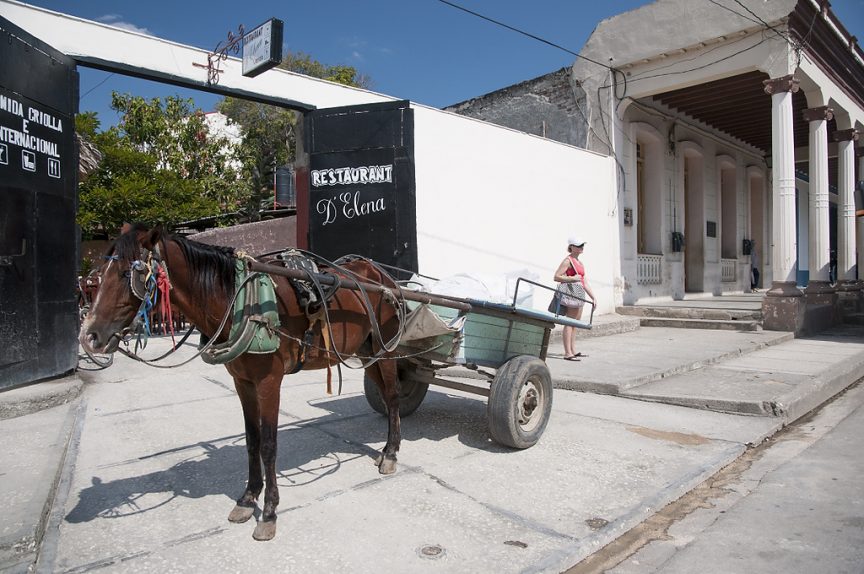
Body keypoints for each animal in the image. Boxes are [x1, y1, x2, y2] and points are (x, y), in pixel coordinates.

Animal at [79, 226, 404, 544]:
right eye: (100, 274)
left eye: (128, 273)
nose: (89, 336)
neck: (240, 302)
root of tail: (383, 276)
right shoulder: (242, 382)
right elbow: (252, 440)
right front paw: (248, 499)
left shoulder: (269, 382)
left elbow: (269, 446)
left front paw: (269, 513)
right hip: (366, 351)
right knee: (386, 395)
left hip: (385, 348)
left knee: (392, 396)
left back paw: (390, 453)